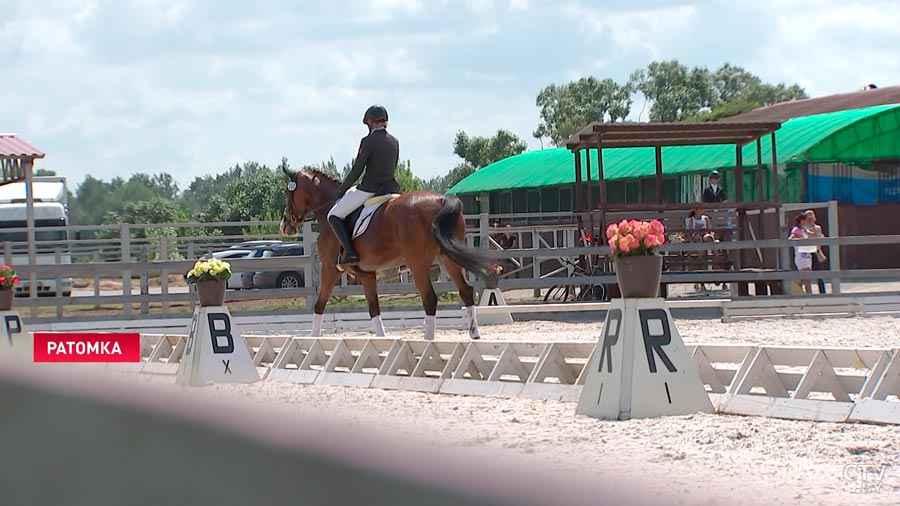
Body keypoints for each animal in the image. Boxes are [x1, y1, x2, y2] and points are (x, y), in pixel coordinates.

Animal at [282, 169, 488, 340]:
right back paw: (475, 335)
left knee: (430, 298)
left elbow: (319, 305)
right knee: (466, 290)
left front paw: (313, 339)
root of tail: (441, 200)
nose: (285, 225)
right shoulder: (367, 275)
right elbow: (374, 309)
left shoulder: (330, 269)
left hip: (417, 263)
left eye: (287, 192)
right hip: (447, 258)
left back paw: (428, 340)